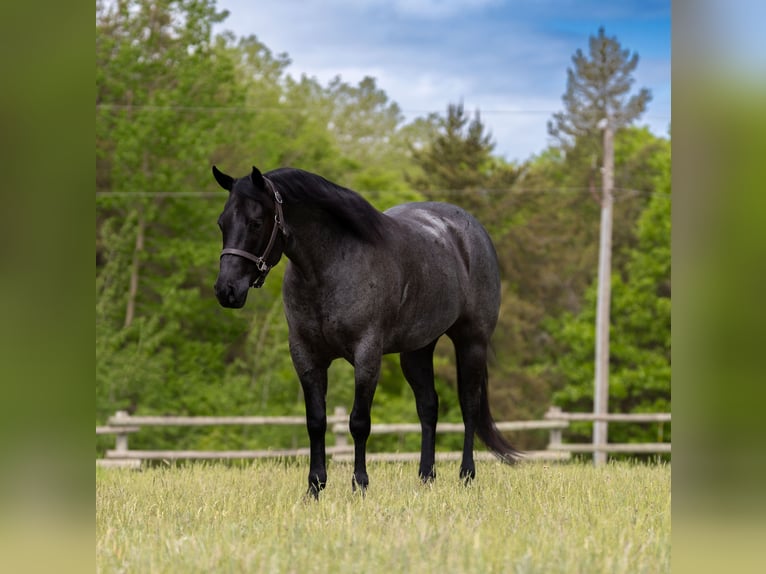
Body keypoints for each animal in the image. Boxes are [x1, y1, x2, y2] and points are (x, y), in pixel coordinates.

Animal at [212, 165, 522, 497]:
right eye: (222, 222)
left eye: (256, 222)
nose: (226, 290)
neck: (331, 266)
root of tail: (471, 230)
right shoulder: (306, 355)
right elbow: (316, 421)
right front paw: (315, 487)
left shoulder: (367, 355)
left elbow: (359, 421)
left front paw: (359, 484)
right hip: (417, 349)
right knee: (428, 406)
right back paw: (426, 476)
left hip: (471, 341)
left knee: (469, 405)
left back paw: (466, 475)